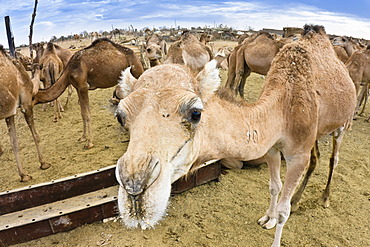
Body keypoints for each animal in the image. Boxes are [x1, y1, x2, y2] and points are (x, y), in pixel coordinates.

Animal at [0, 44, 50, 181]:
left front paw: (23, 175)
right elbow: (36, 135)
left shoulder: (9, 113)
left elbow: (14, 142)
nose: (32, 61)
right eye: (24, 58)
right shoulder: (26, 104)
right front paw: (44, 163)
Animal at [114, 25, 356, 247]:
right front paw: (267, 218)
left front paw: (277, 223)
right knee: (317, 158)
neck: (284, 107)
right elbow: (274, 186)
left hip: (342, 124)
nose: (135, 188)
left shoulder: (297, 155)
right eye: (120, 116)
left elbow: (283, 212)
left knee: (333, 158)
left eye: (195, 113)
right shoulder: (271, 147)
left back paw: (323, 198)